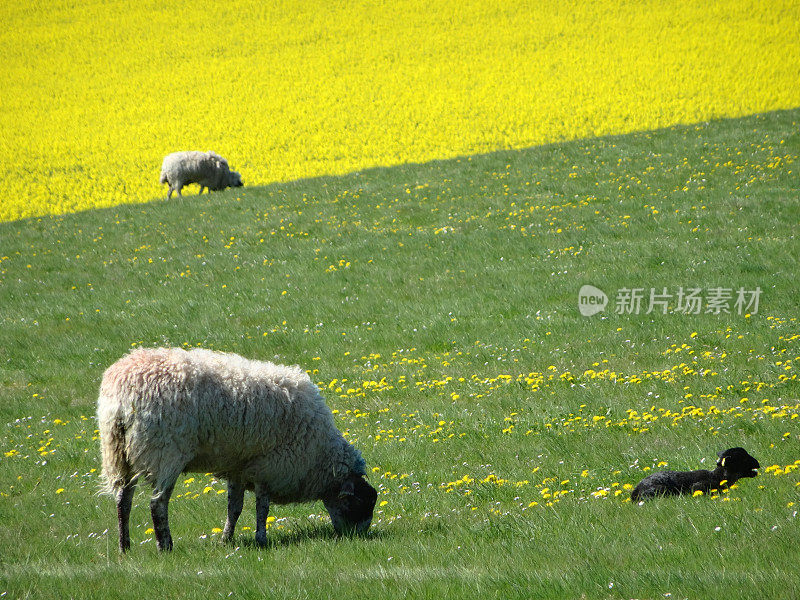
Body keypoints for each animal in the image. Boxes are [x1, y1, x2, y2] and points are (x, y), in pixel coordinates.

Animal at [97, 346, 378, 552]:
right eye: (359, 503)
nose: (357, 538)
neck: (318, 453)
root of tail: (121, 399)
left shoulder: (239, 466)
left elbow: (234, 507)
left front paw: (226, 539)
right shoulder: (269, 466)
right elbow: (262, 508)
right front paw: (261, 539)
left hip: (117, 453)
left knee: (123, 499)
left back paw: (124, 547)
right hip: (164, 452)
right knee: (157, 504)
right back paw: (165, 546)